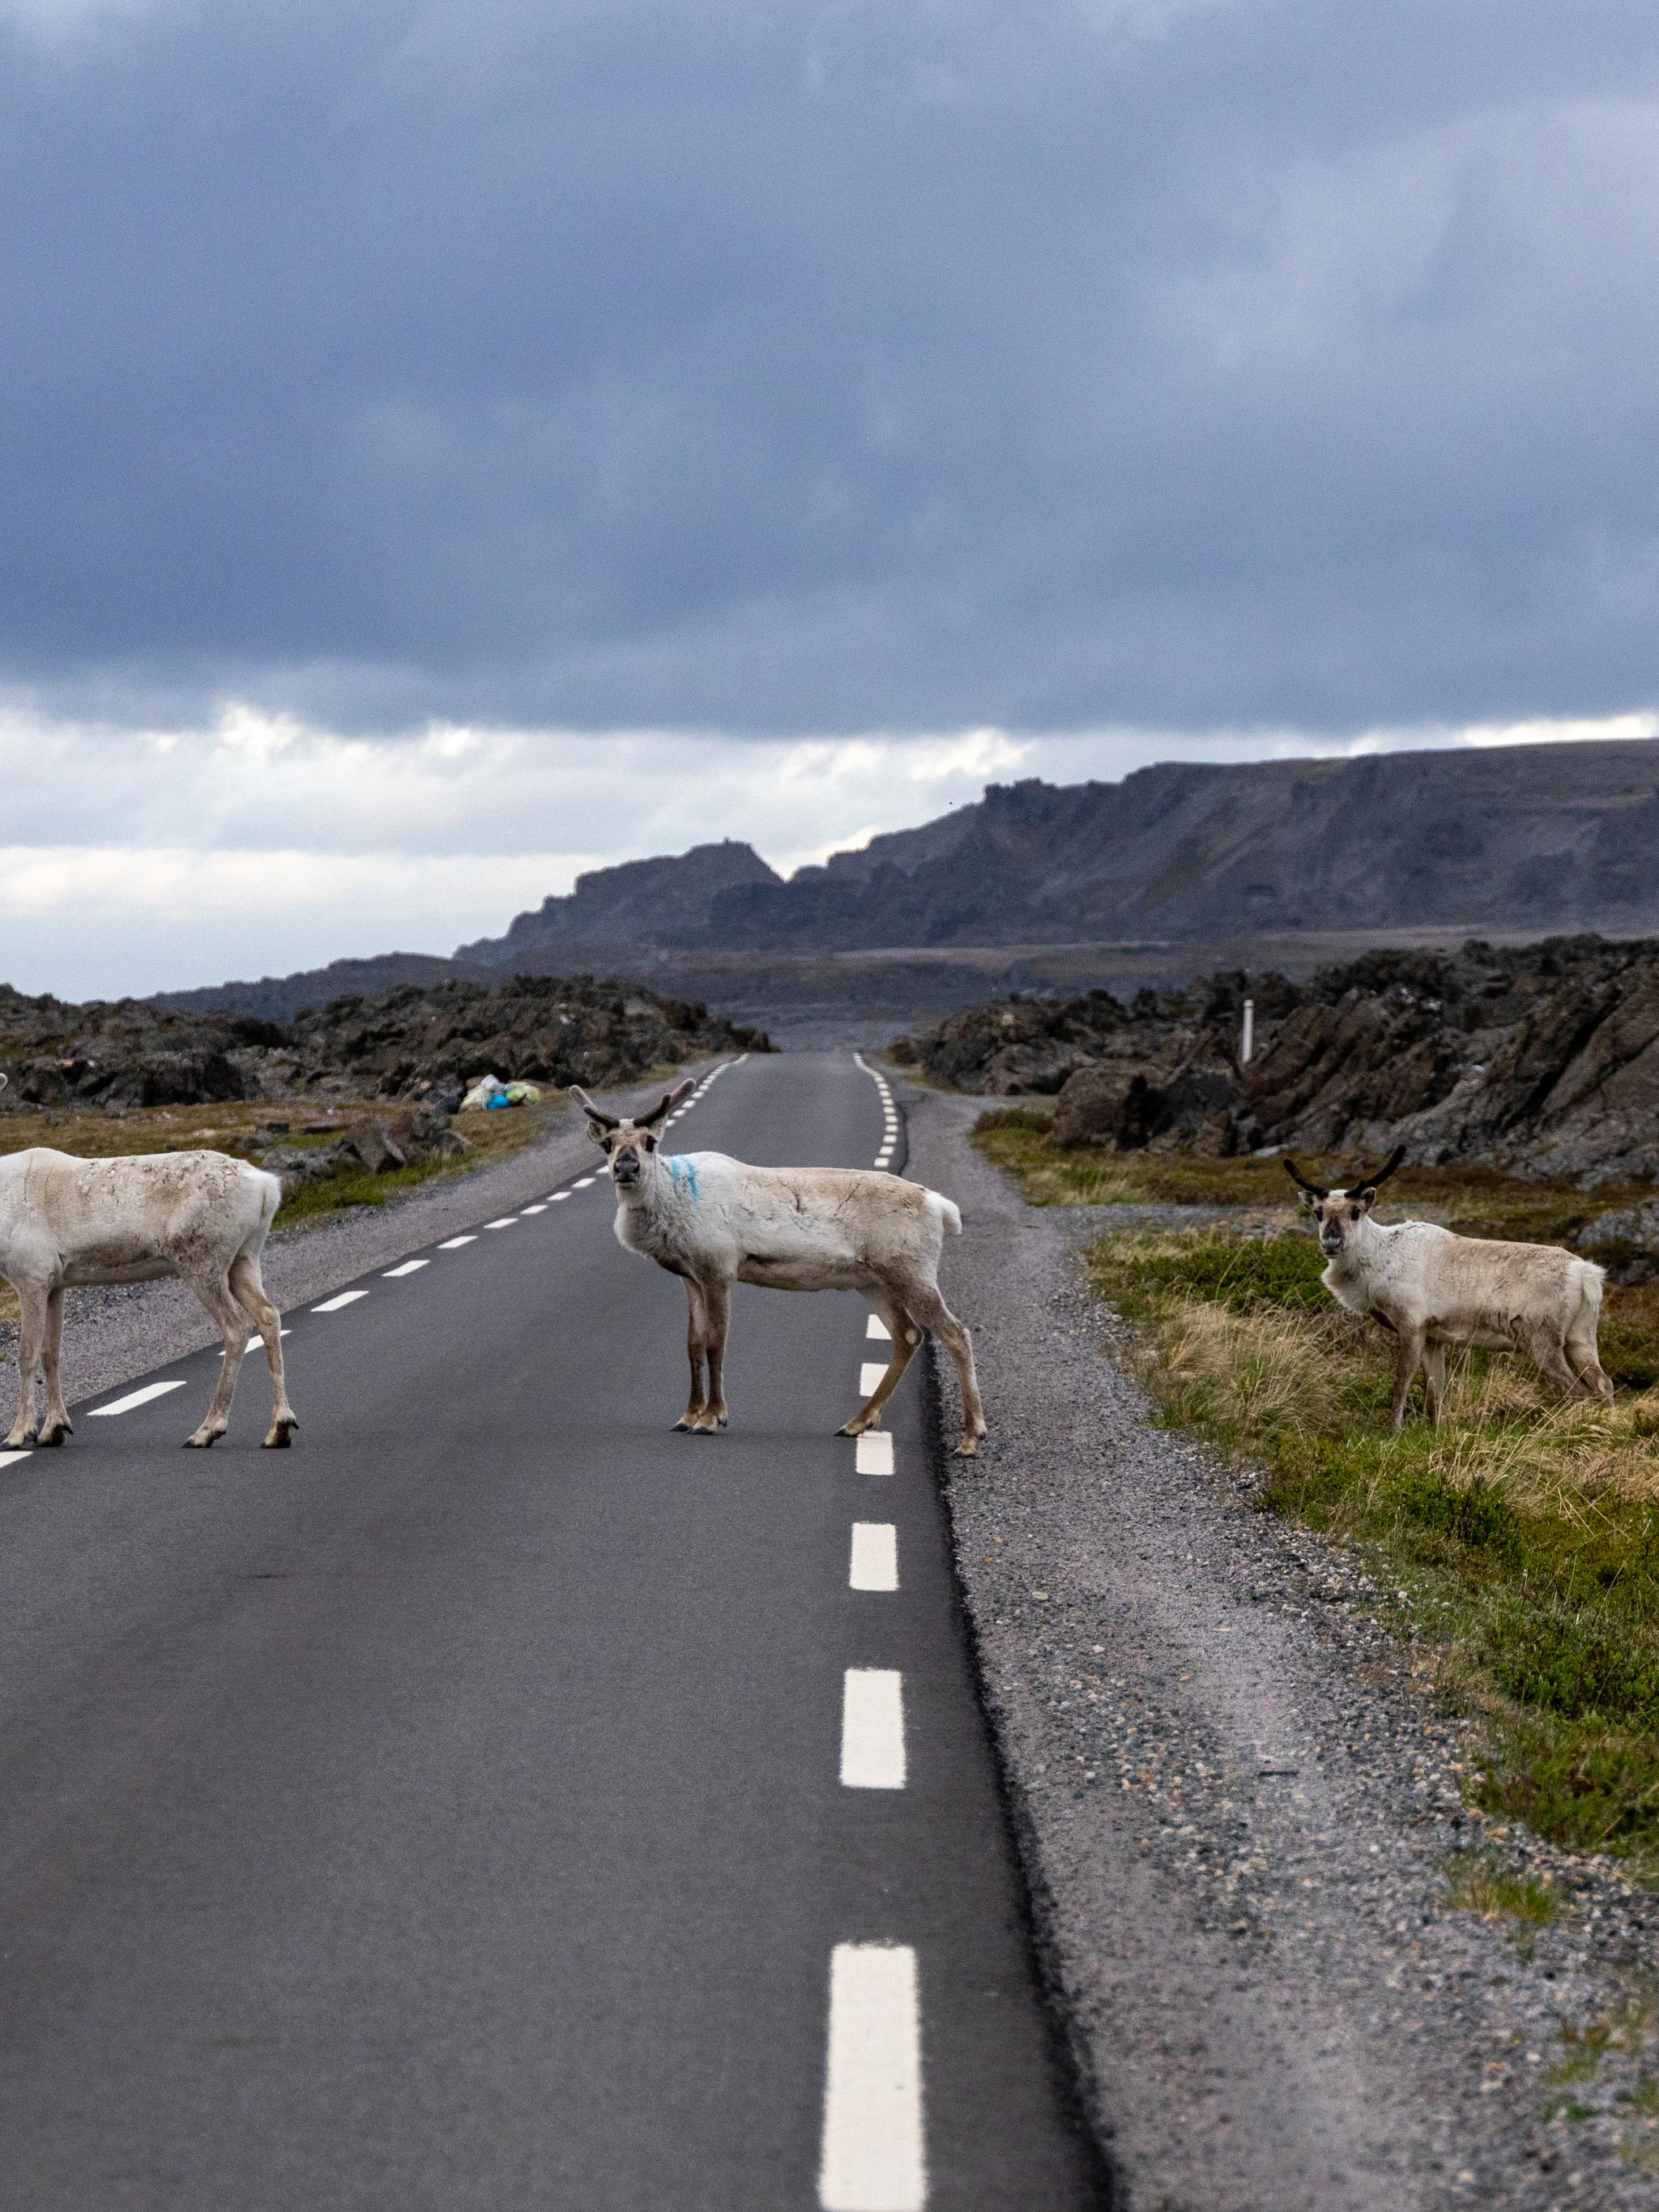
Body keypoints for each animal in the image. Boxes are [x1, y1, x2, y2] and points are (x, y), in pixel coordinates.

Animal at [572, 1078, 986, 1455]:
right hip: (874, 1281)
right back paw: (856, 1423)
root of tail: (942, 1208)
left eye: (650, 1142)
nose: (626, 1167)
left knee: (955, 1333)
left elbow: (716, 1343)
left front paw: (712, 1418)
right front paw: (687, 1416)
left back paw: (970, 1438)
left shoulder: (719, 1270)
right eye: (607, 1144)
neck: (673, 1201)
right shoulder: (690, 1277)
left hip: (912, 1271)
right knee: (908, 1336)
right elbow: (692, 1344)